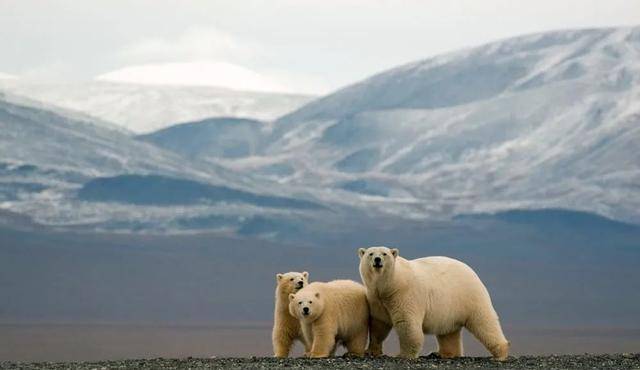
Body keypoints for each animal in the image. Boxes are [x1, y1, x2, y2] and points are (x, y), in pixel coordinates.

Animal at [358, 247, 508, 360]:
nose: (377, 260)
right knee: (449, 333)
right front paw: (371, 351)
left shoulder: (404, 294)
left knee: (484, 322)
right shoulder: (377, 298)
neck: (391, 284)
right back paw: (444, 353)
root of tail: (472, 271)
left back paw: (500, 353)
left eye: (385, 253)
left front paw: (403, 355)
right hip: (450, 308)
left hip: (469, 296)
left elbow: (407, 323)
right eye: (371, 253)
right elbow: (379, 324)